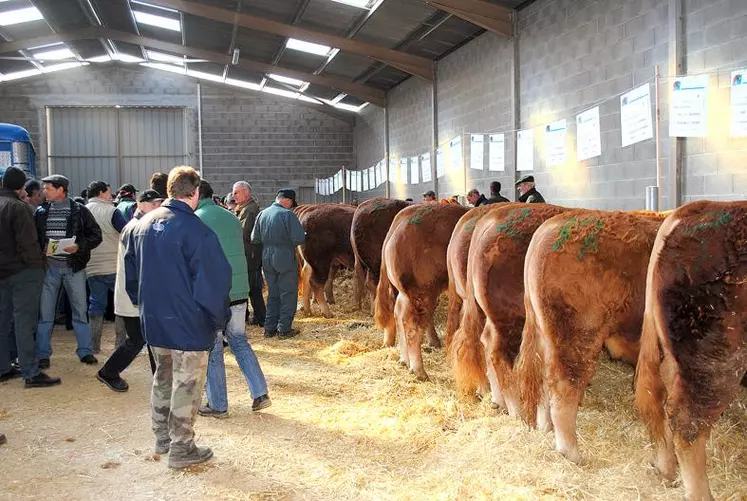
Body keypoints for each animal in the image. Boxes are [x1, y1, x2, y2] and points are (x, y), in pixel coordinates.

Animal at [374, 203, 468, 378]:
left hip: (406, 293)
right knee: (413, 325)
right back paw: (419, 371)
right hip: (423, 290)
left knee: (399, 314)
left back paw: (404, 361)